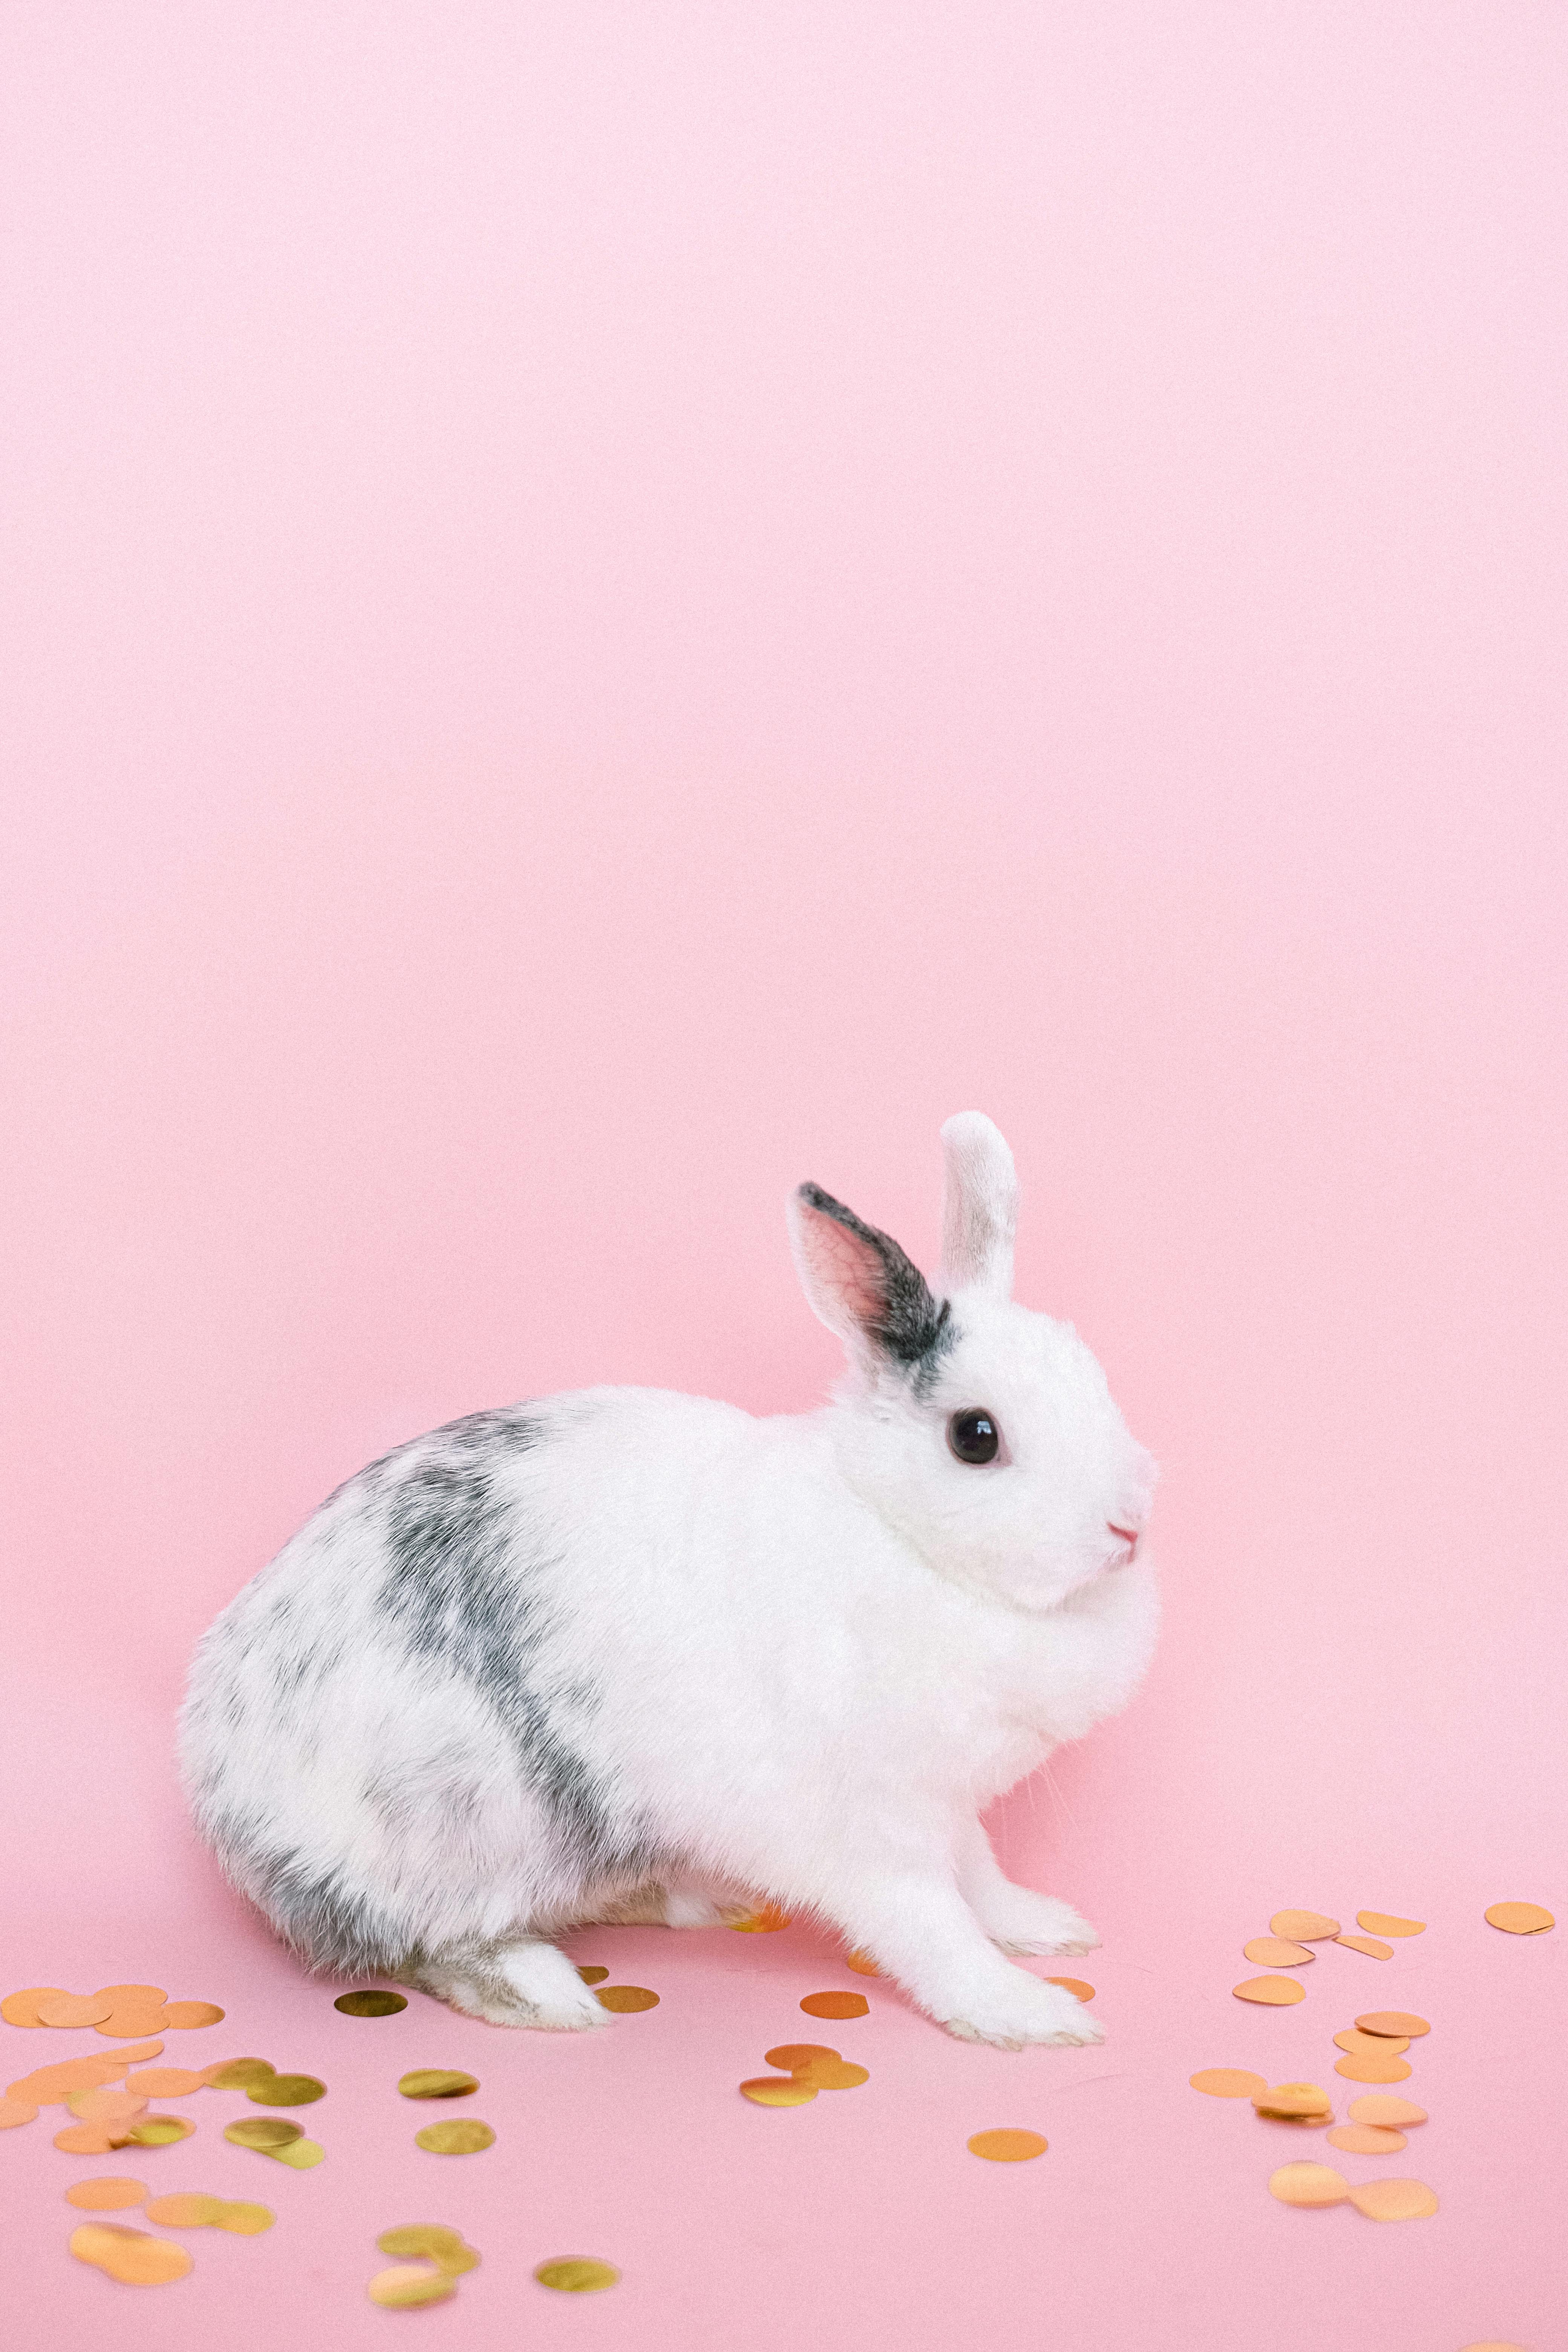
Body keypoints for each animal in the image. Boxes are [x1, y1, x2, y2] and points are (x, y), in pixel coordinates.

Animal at [187, 1110, 1166, 2051]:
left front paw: (1047, 1928)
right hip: (465, 1829)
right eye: (976, 1436)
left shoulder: (949, 1803)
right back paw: (547, 1994)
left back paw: (692, 1899)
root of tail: (216, 1785)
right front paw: (1027, 2015)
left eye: (1094, 1377)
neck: (898, 1534)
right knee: (425, 1944)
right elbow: (931, 1926)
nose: (1129, 1525)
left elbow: (981, 1875)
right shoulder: (866, 1829)